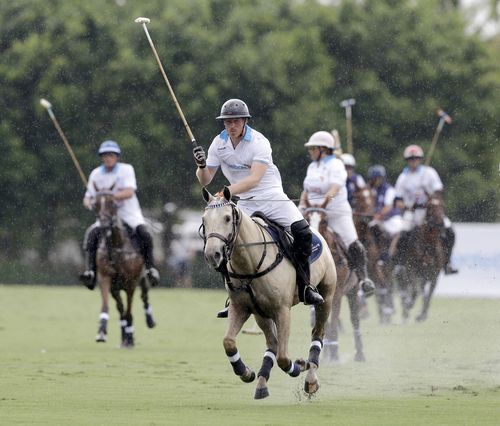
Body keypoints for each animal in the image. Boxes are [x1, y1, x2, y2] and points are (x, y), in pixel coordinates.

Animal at [201, 186, 338, 400]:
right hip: (262, 313)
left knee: (318, 333)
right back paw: (261, 383)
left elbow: (283, 357)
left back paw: (310, 378)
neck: (249, 263)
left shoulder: (282, 310)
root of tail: (318, 231)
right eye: (204, 220)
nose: (212, 255)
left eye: (227, 218)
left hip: (327, 297)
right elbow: (228, 342)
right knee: (272, 343)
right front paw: (245, 372)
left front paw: (299, 365)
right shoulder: (241, 307)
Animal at [302, 208, 366, 362]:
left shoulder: (336, 293)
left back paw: (359, 354)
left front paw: (335, 353)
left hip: (353, 290)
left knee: (354, 318)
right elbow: (322, 322)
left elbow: (334, 320)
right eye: (306, 219)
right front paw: (327, 351)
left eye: (325, 222)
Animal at [392, 191, 448, 322]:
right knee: (404, 290)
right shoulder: (412, 270)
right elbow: (416, 292)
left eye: (443, 205)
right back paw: (405, 312)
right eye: (430, 206)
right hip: (400, 274)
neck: (428, 245)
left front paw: (422, 315)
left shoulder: (433, 275)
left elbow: (428, 295)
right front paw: (410, 305)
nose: (440, 223)